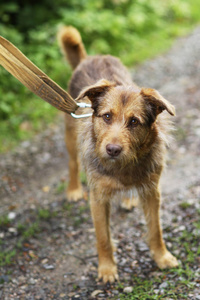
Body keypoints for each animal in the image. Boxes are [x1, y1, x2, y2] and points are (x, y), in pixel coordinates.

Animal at [57, 27, 178, 282]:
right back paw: (73, 189)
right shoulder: (98, 198)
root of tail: (89, 58)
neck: (124, 166)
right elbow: (103, 238)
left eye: (134, 122)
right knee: (73, 163)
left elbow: (155, 230)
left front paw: (162, 257)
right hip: (70, 135)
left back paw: (129, 199)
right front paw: (106, 269)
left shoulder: (152, 191)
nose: (112, 149)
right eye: (106, 116)